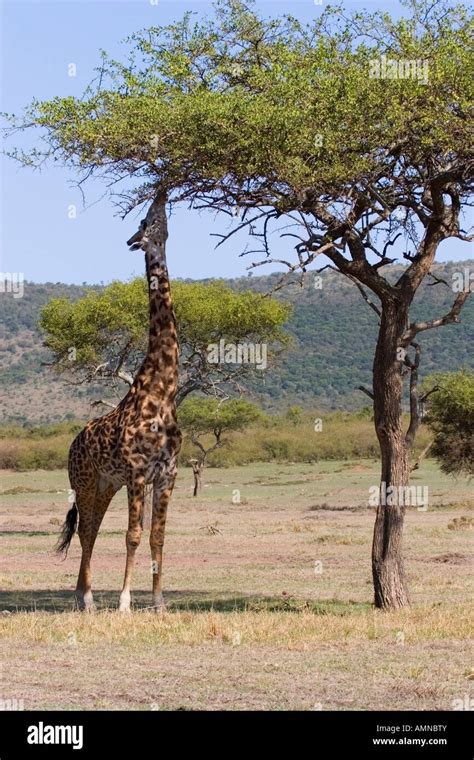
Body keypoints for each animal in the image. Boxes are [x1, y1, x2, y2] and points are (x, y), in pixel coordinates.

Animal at [56, 190, 181, 612]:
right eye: (147, 220)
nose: (161, 191)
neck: (163, 390)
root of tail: (74, 443)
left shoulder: (167, 476)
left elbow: (158, 537)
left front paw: (159, 602)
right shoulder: (138, 473)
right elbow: (132, 536)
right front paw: (126, 601)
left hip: (106, 483)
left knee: (90, 529)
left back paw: (85, 596)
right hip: (84, 480)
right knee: (86, 531)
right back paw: (87, 598)